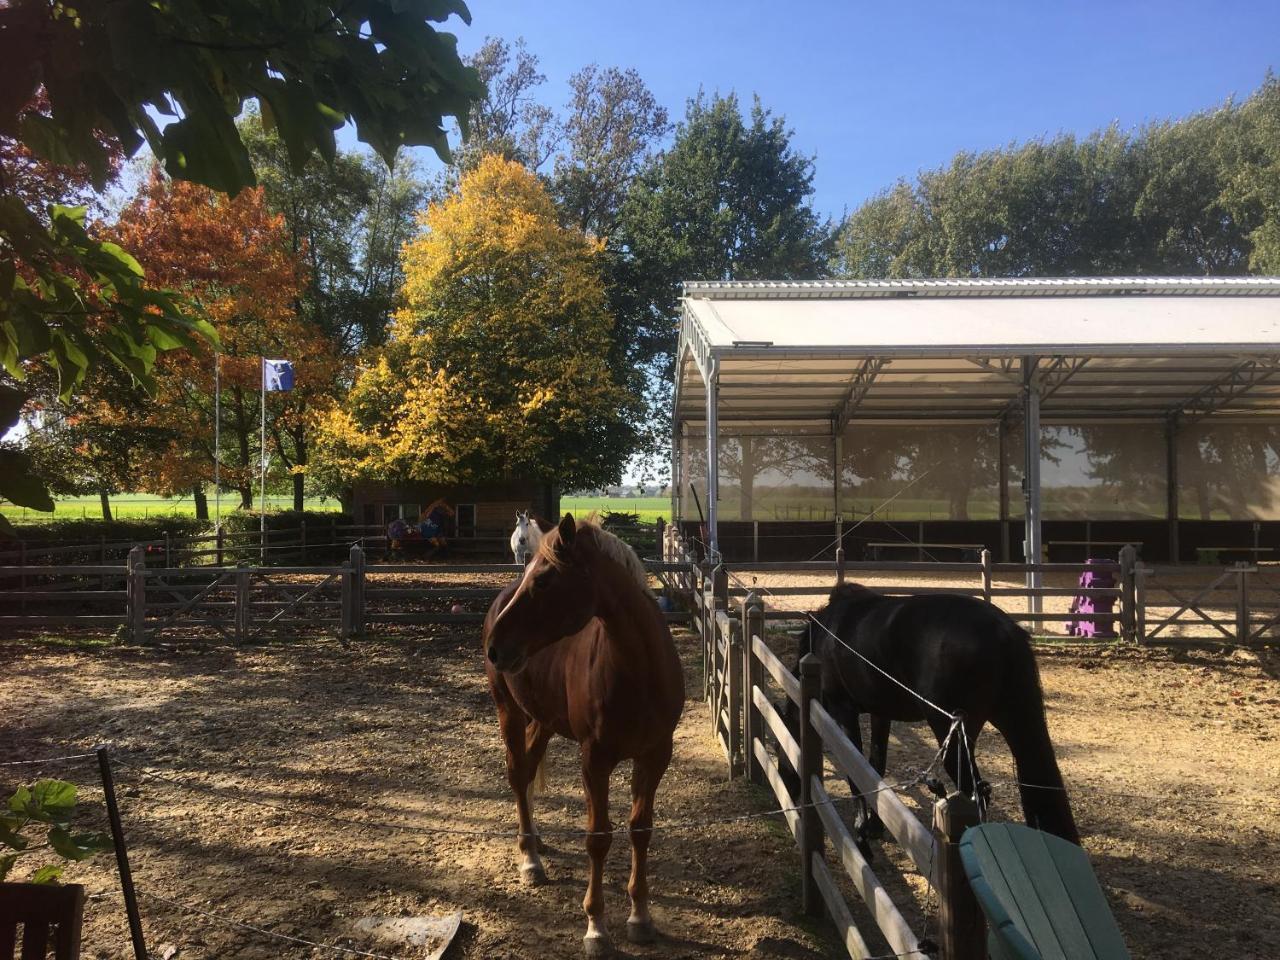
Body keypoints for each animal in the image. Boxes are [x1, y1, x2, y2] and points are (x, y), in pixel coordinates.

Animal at [483, 514, 686, 957]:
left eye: (543, 580)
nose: (495, 647)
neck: (639, 672)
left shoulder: (655, 756)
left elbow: (640, 829)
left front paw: (640, 916)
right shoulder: (595, 760)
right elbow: (598, 837)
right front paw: (596, 926)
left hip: (543, 720)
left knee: (528, 769)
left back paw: (535, 842)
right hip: (508, 711)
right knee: (517, 774)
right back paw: (530, 859)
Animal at [778, 583, 1080, 844]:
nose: (786, 785)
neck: (827, 634)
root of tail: (1003, 631)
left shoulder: (844, 710)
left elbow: (855, 769)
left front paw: (862, 832)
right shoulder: (880, 713)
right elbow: (874, 766)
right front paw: (875, 826)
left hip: (953, 734)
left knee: (975, 793)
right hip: (1014, 722)